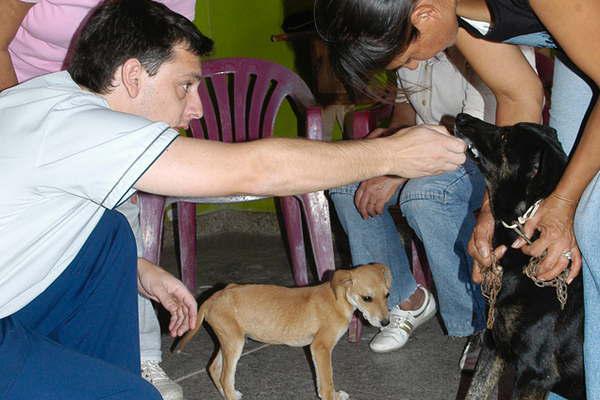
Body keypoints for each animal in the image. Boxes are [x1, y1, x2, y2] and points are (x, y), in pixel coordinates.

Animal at [177, 264, 394, 400]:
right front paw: (332, 396)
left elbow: (321, 381)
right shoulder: (321, 347)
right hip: (234, 343)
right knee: (224, 377)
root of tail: (213, 297)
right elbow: (327, 382)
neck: (337, 299)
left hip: (229, 341)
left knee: (214, 368)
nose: (386, 322)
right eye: (367, 298)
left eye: (387, 295)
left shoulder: (316, 351)